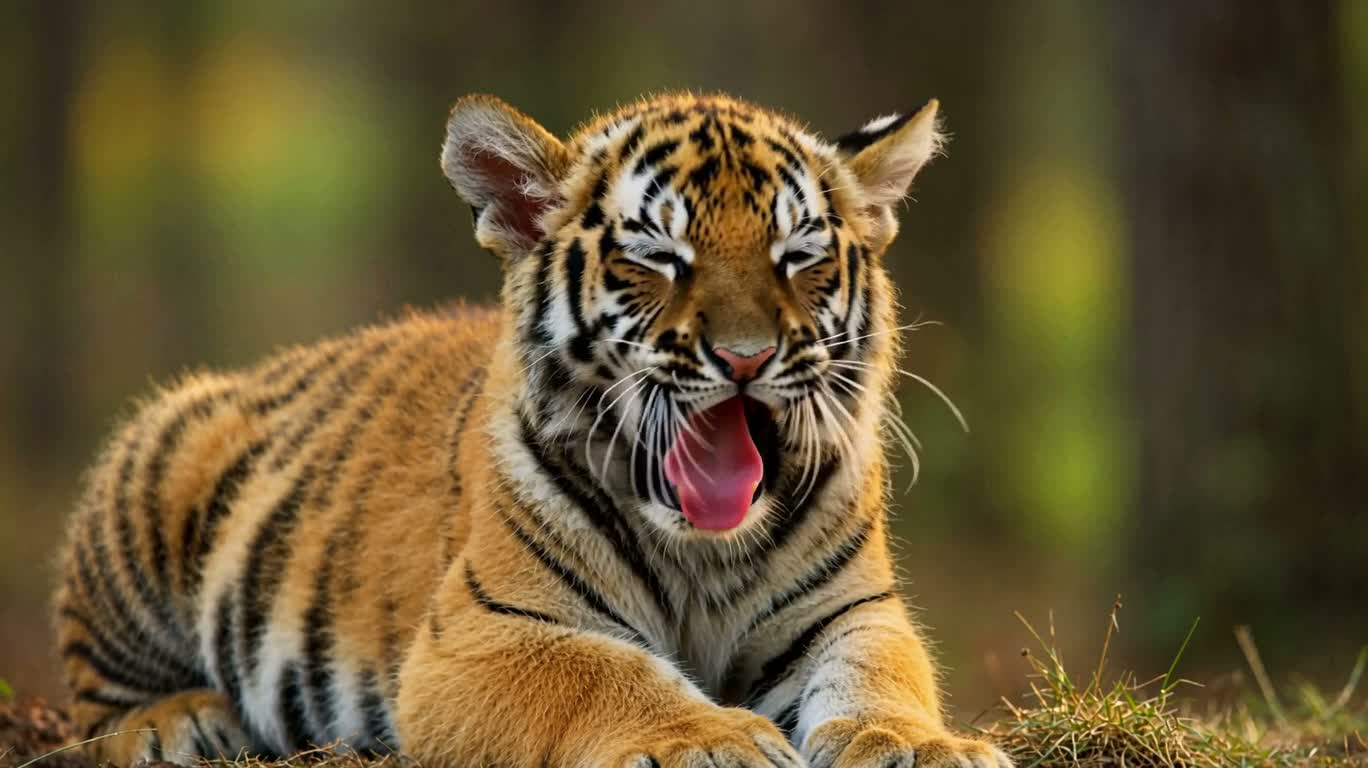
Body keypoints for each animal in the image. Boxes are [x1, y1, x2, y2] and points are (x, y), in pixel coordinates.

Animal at [53, 91, 1012, 768]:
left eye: (798, 258)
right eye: (659, 258)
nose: (746, 357)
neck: (703, 554)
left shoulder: (850, 613)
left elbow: (879, 678)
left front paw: (923, 746)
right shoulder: (482, 635)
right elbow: (605, 673)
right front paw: (712, 739)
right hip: (159, 459)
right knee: (91, 697)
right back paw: (179, 725)